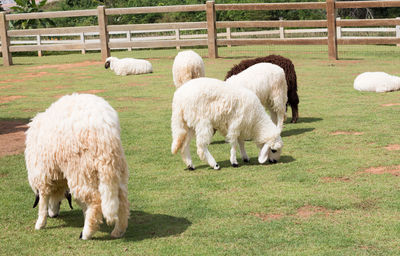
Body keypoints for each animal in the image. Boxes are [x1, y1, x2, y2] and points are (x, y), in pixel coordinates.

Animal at [24, 94, 130, 240]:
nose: (54, 215)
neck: (60, 178)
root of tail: (105, 128)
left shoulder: (42, 173)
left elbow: (43, 199)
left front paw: (40, 223)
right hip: (114, 167)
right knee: (122, 199)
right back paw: (118, 231)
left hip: (81, 170)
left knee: (95, 200)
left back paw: (86, 233)